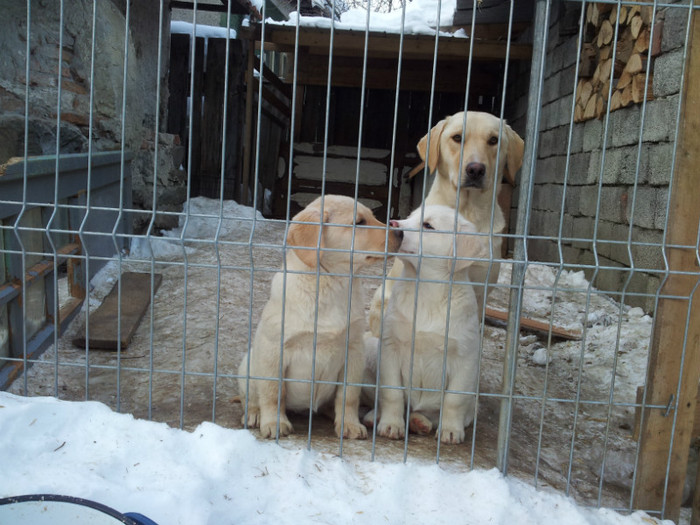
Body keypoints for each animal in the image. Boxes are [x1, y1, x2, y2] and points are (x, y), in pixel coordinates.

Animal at [239, 195, 402, 438]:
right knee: (250, 397)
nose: (400, 232)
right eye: (359, 222)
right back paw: (254, 414)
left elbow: (348, 396)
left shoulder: (354, 351)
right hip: (247, 365)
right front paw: (274, 423)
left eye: (373, 216)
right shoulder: (274, 349)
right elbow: (273, 392)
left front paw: (349, 424)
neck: (331, 283)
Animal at [372, 204, 486, 442]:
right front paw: (391, 424)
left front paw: (451, 431)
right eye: (409, 216)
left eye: (428, 225)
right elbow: (392, 393)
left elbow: (454, 400)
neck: (425, 289)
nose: (392, 224)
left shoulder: (466, 358)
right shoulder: (390, 348)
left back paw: (419, 422)